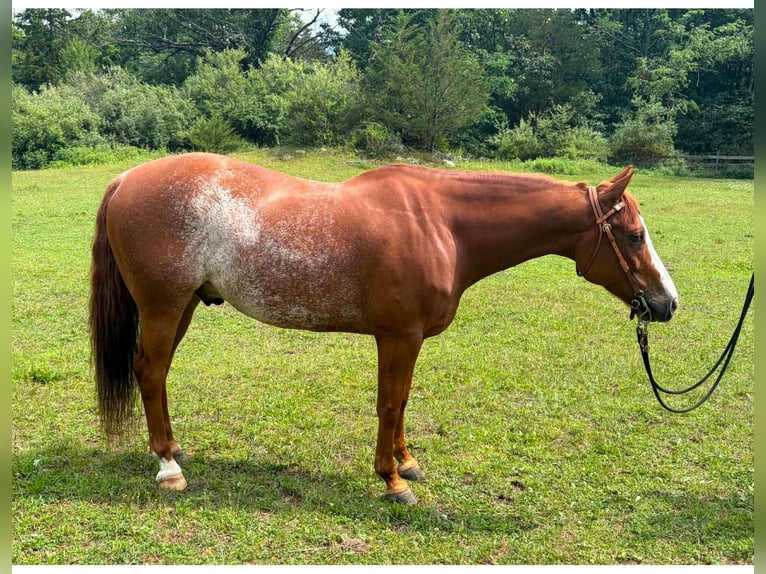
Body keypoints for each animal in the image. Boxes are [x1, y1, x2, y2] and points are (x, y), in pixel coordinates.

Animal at [89, 153, 678, 504]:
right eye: (633, 235)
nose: (667, 302)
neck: (441, 224)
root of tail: (126, 178)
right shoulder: (399, 336)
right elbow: (391, 402)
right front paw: (392, 481)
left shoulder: (406, 341)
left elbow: (404, 398)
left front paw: (407, 462)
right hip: (163, 307)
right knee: (150, 373)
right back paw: (169, 467)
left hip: (184, 305)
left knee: (156, 374)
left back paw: (174, 450)